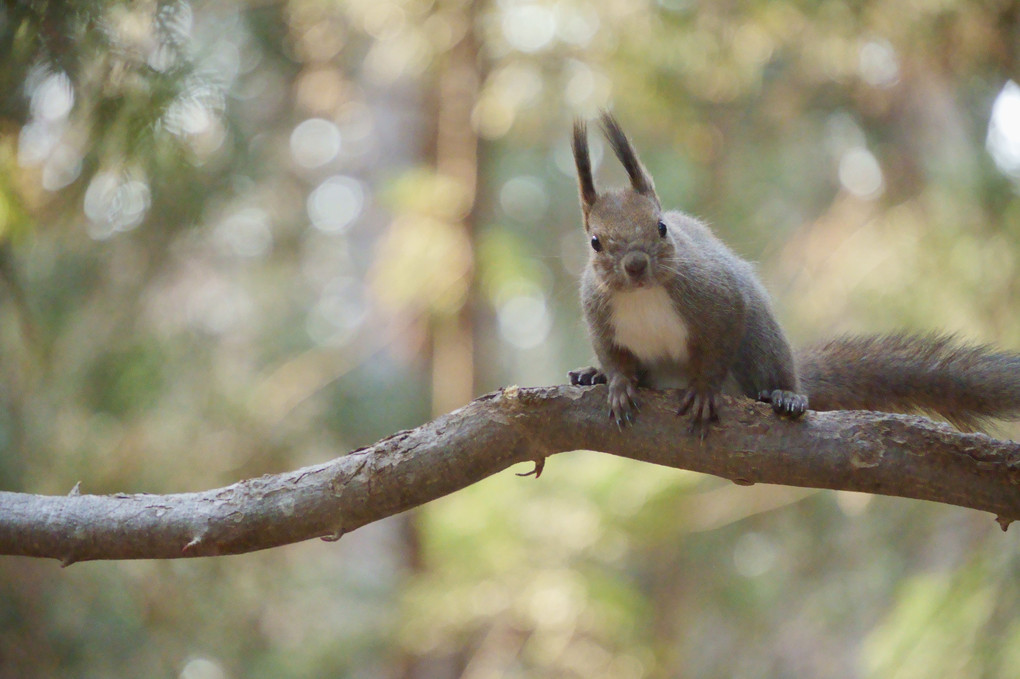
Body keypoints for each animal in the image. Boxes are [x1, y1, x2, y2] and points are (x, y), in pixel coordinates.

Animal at [571, 110, 1020, 428]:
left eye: (661, 227)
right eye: (595, 242)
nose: (635, 264)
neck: (643, 294)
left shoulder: (714, 294)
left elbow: (719, 340)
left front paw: (703, 390)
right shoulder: (596, 311)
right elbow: (611, 354)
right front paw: (617, 384)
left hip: (760, 342)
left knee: (770, 368)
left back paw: (787, 396)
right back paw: (594, 375)